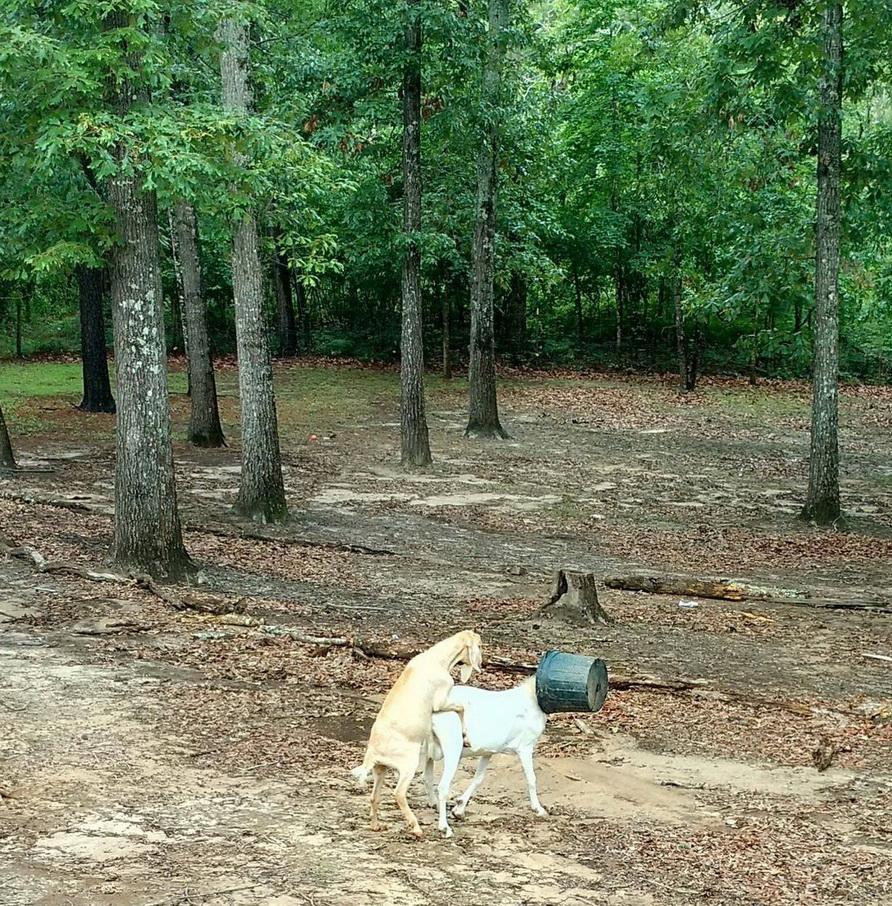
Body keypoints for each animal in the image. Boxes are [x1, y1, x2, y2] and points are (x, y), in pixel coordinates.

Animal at [424, 676, 548, 836]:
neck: (532, 699)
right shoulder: (525, 747)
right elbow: (532, 778)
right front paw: (539, 809)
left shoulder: (488, 752)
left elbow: (478, 779)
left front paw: (459, 810)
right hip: (452, 749)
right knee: (442, 786)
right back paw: (445, 827)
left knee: (425, 778)